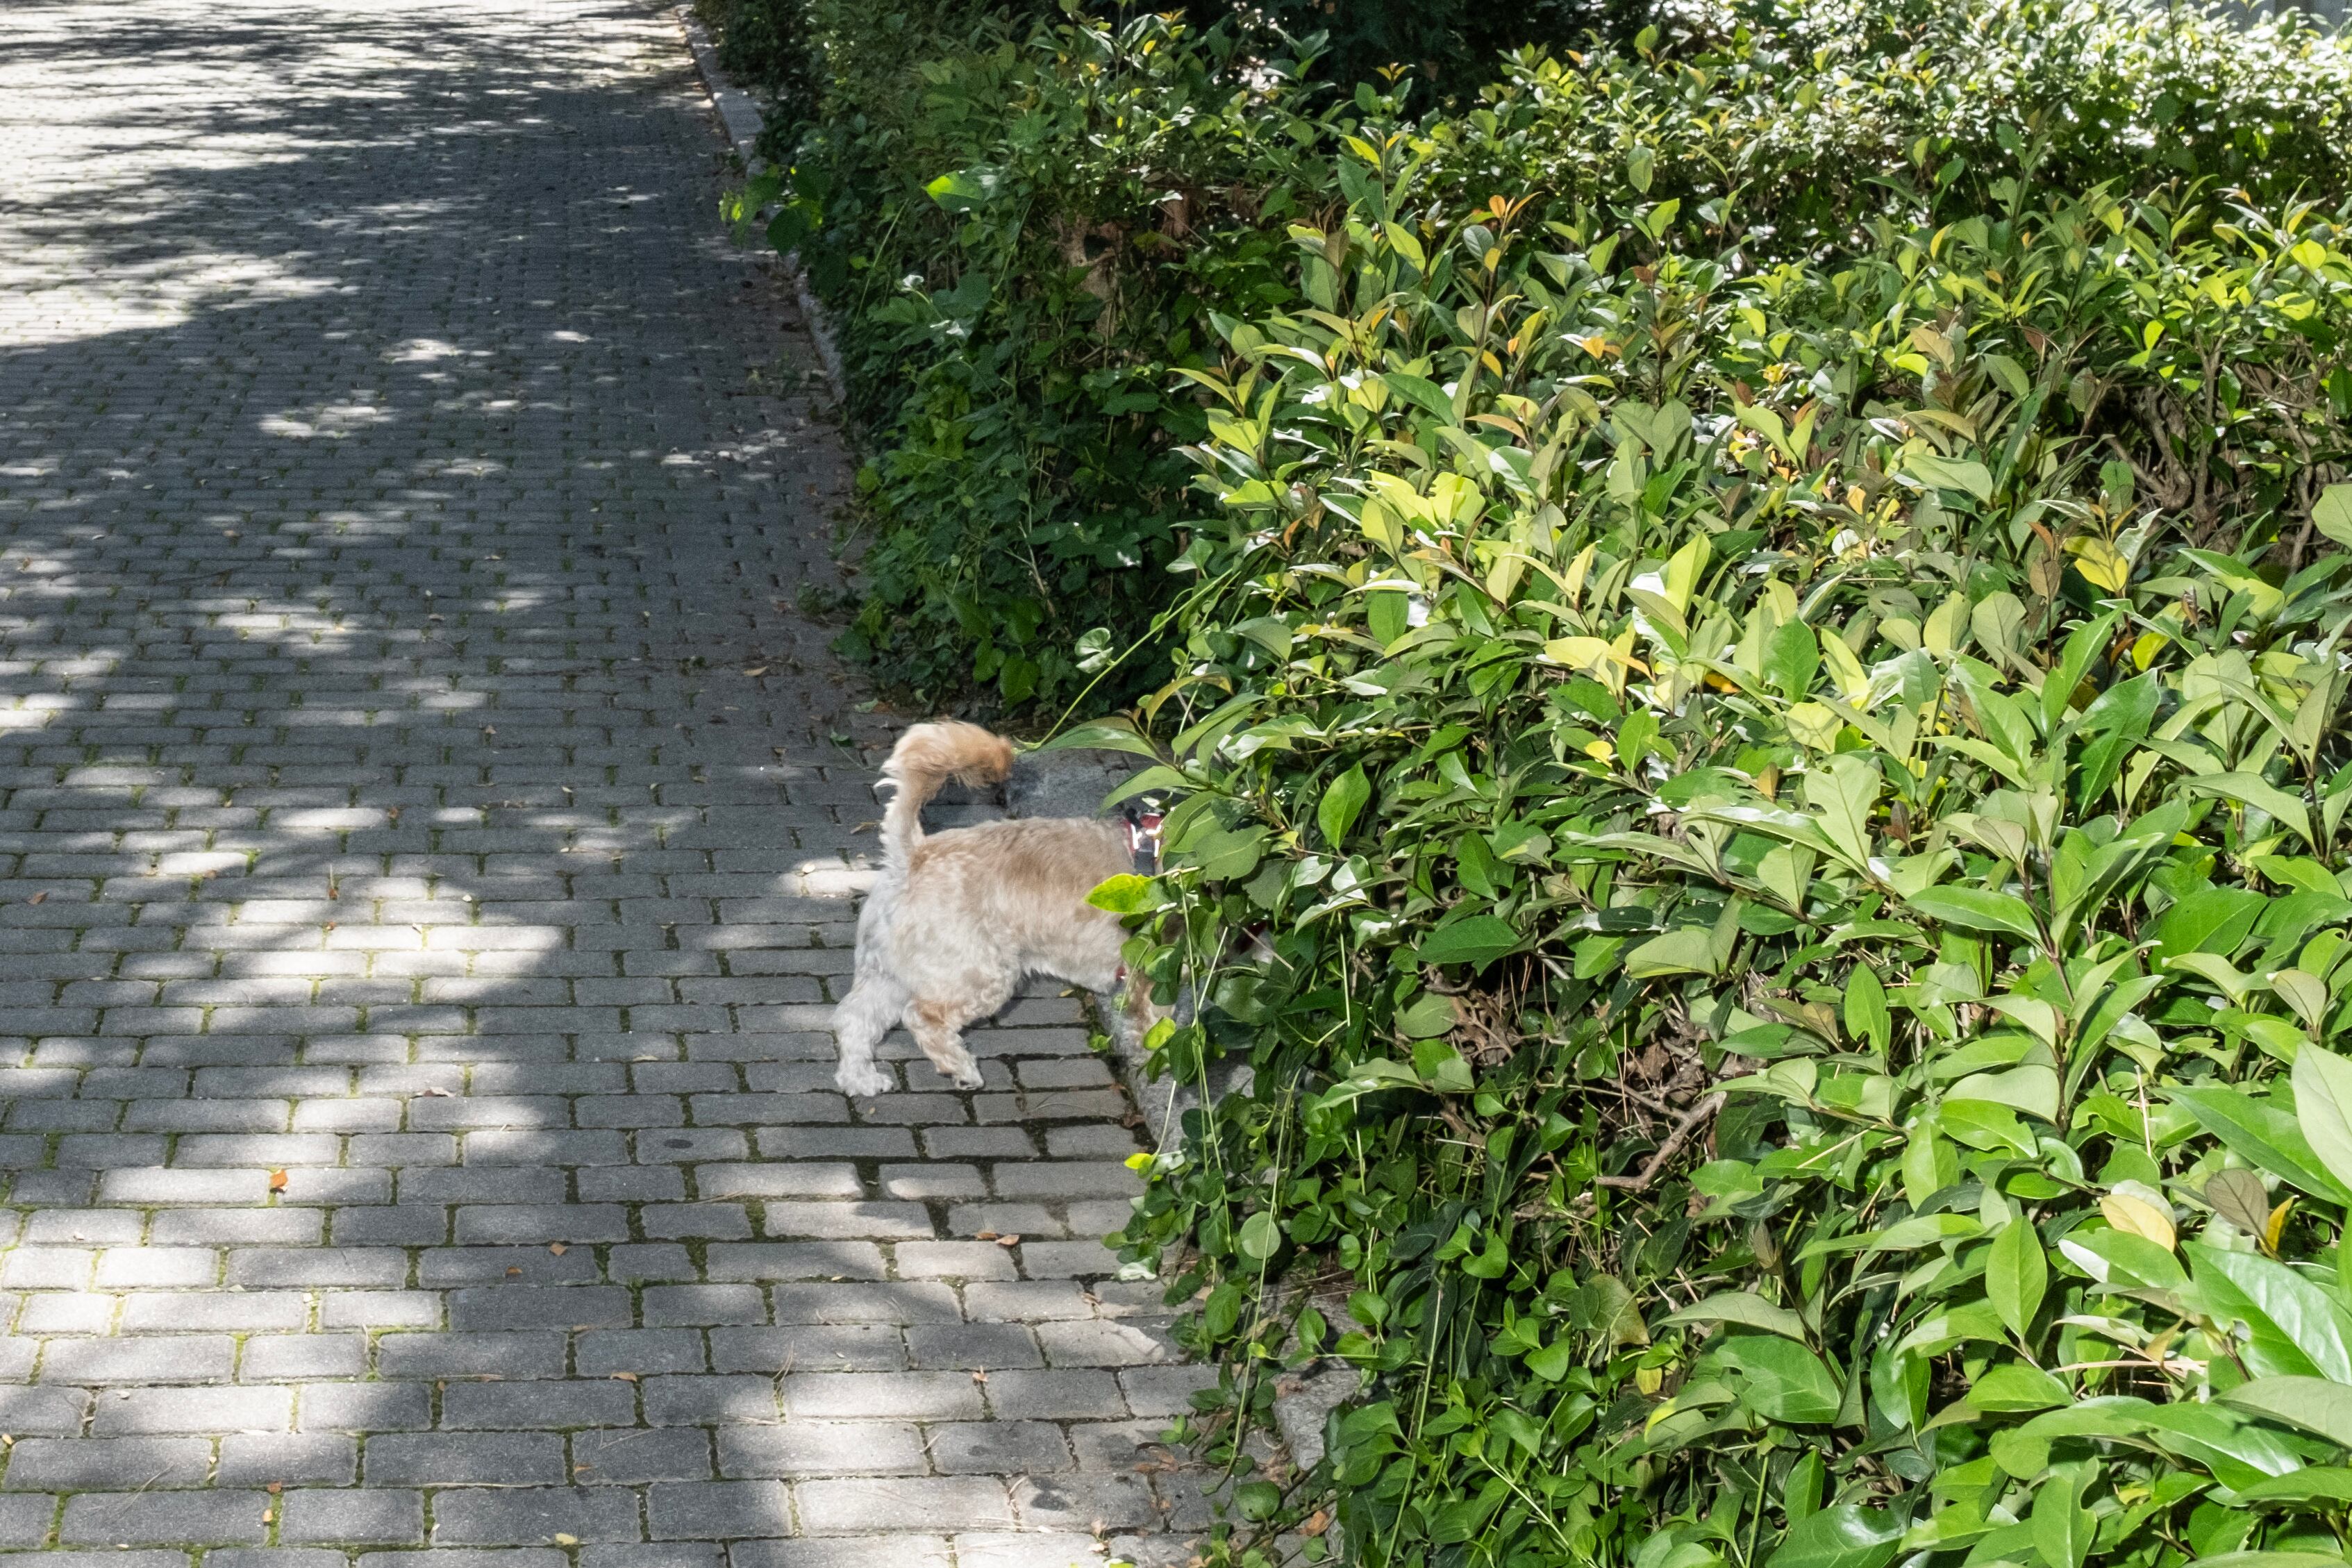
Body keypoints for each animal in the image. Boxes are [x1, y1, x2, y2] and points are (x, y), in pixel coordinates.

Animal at [832, 719, 1162, 1100]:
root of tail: (914, 854)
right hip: (980, 973)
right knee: (921, 1016)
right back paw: (961, 1069)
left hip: (889, 975)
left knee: (854, 1018)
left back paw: (861, 1079)